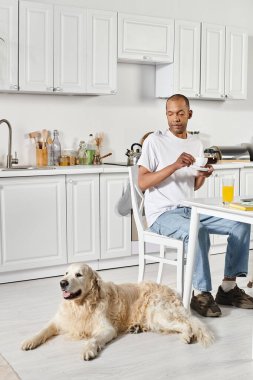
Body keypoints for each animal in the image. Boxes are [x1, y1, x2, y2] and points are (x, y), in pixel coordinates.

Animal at [21, 262, 213, 360]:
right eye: (66, 273)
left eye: (79, 275)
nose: (62, 283)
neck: (81, 306)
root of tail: (173, 292)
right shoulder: (59, 321)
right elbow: (43, 330)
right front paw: (29, 341)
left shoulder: (107, 329)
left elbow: (93, 339)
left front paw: (88, 350)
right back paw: (136, 327)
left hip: (158, 315)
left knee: (186, 324)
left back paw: (187, 336)